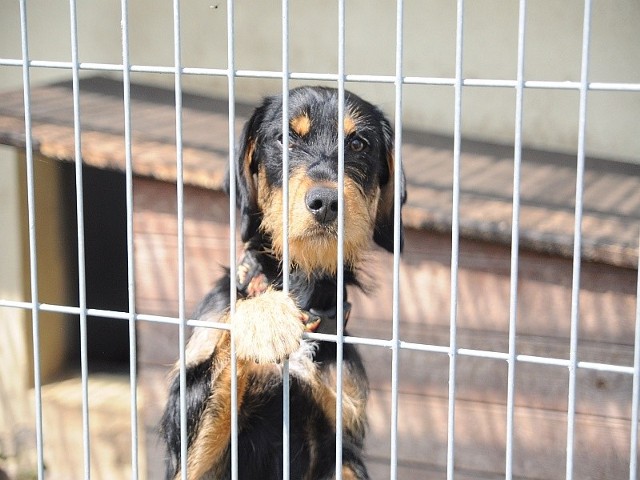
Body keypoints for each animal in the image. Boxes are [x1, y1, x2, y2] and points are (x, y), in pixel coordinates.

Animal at [162, 87, 408, 480]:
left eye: (358, 144)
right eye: (284, 139)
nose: (325, 201)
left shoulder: (340, 442)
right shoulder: (191, 459)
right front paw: (264, 317)